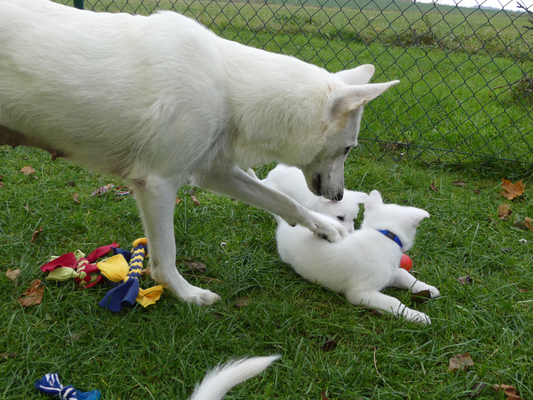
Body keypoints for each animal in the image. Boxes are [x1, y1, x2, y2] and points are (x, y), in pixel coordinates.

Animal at [0, 0, 400, 304]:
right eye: (348, 149)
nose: (338, 195)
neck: (228, 87)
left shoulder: (215, 172)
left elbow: (284, 201)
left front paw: (326, 228)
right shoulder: (159, 185)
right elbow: (165, 258)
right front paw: (187, 295)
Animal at [276, 191, 438, 324]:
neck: (384, 234)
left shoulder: (390, 274)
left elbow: (406, 276)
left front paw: (427, 289)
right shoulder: (360, 293)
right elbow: (393, 302)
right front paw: (417, 316)